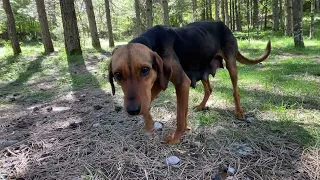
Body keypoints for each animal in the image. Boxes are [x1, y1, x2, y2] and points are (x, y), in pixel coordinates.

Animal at [109, 20, 272, 144]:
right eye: (117, 75)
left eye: (144, 70)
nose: (132, 110)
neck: (153, 43)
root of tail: (224, 25)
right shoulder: (156, 85)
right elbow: (149, 105)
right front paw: (149, 124)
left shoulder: (181, 83)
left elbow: (180, 116)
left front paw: (175, 138)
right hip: (203, 68)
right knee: (209, 89)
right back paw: (201, 106)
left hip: (231, 65)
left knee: (235, 91)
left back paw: (239, 112)